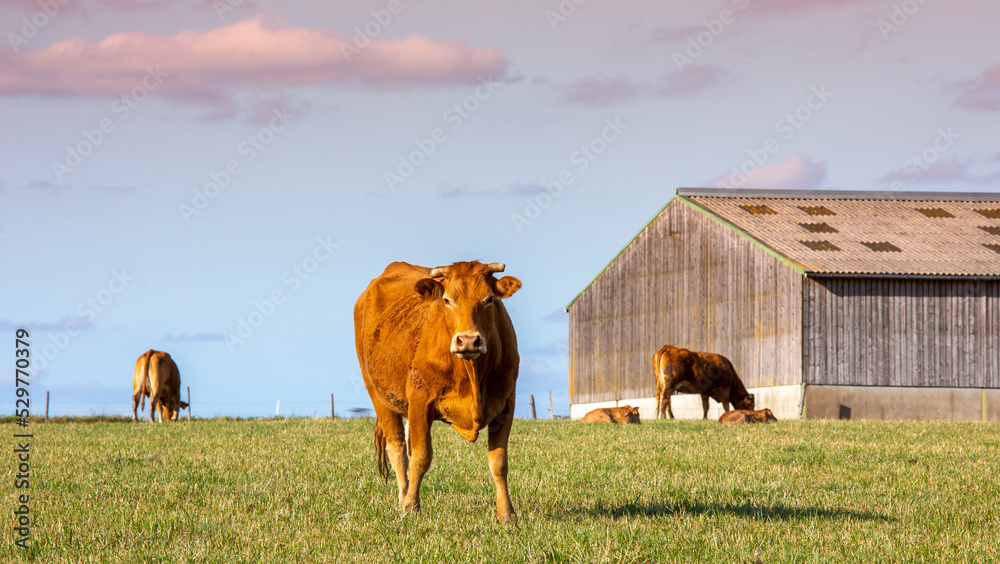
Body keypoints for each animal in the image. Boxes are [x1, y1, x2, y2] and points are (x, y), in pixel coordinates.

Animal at [354, 261, 521, 524]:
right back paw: (403, 497)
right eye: (447, 300)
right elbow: (421, 457)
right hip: (379, 396)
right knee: (398, 448)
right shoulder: (420, 400)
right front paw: (411, 506)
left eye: (489, 299)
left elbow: (499, 462)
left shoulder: (506, 404)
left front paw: (507, 514)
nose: (468, 340)